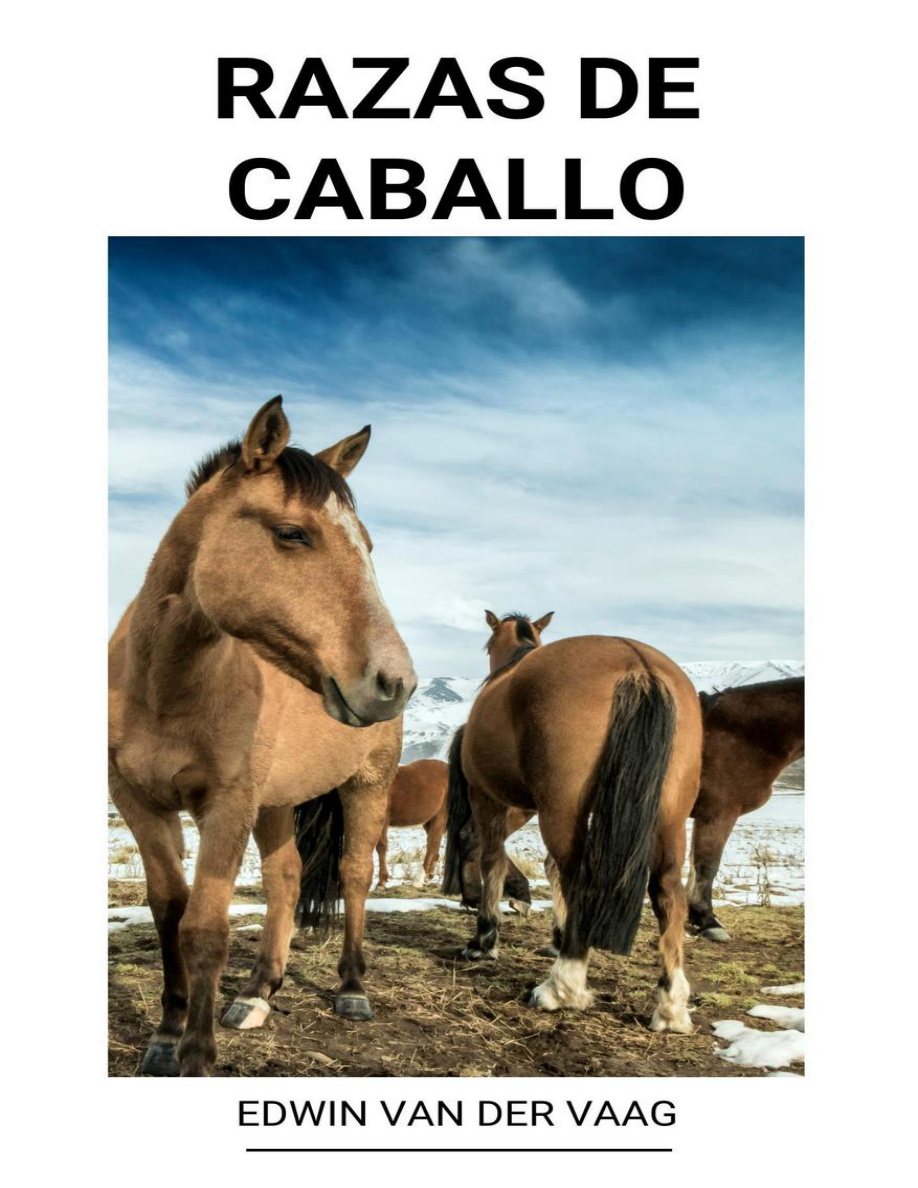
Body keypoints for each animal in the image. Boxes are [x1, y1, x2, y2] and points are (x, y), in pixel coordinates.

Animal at [108, 396, 416, 1076]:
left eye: (368, 544)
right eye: (292, 533)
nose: (394, 682)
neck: (167, 687)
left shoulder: (227, 806)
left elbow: (205, 929)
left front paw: (196, 1056)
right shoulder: (139, 803)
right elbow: (169, 912)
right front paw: (165, 1036)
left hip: (366, 785)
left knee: (353, 875)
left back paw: (352, 988)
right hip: (276, 801)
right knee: (287, 878)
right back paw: (256, 992)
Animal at [375, 759, 449, 887]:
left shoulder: (382, 821)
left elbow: (381, 846)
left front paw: (382, 881)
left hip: (440, 816)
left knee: (432, 845)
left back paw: (421, 879)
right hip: (429, 821)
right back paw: (429, 876)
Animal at [443, 611, 702, 1031]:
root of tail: (639, 666)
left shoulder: (489, 798)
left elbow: (491, 859)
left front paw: (484, 939)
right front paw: (553, 933)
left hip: (560, 809)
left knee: (576, 877)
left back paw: (563, 985)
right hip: (670, 817)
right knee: (667, 893)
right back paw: (670, 1005)